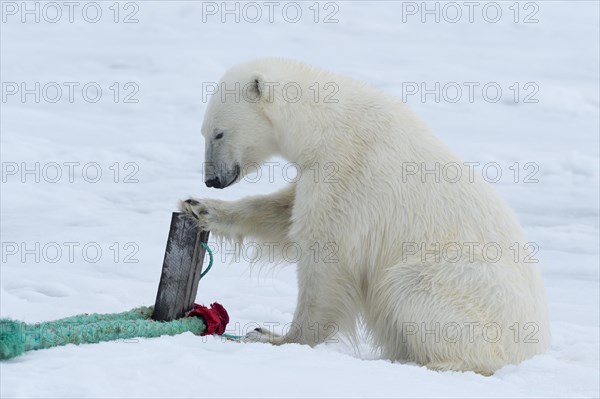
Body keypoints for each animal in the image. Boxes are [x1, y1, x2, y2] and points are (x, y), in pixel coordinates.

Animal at [180, 58, 552, 376]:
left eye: (219, 132)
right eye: (203, 132)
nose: (212, 179)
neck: (329, 124)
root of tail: (534, 348)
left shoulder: (347, 171)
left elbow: (325, 254)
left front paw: (273, 336)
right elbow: (282, 214)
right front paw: (199, 206)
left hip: (463, 288)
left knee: (411, 286)